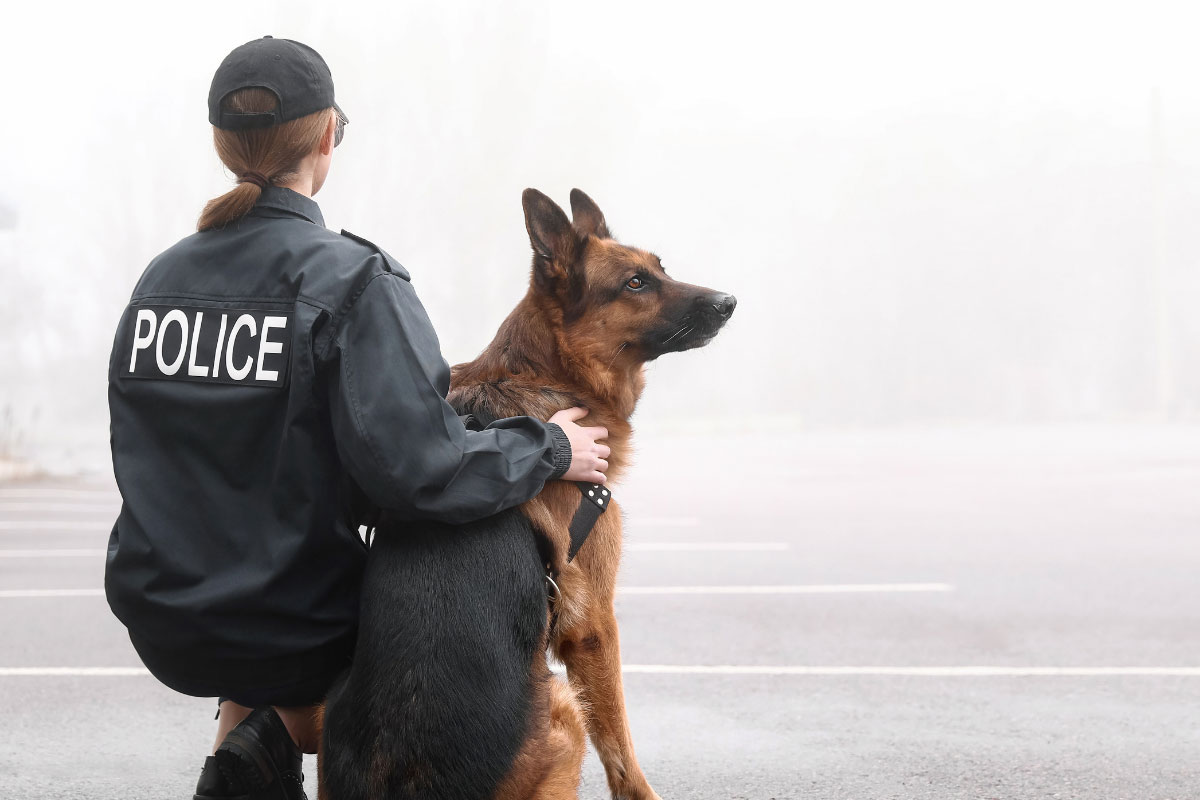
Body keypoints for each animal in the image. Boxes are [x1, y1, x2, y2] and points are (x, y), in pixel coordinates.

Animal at [319, 190, 729, 796]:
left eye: (661, 269)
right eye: (635, 283)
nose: (729, 302)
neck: (550, 377)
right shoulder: (593, 625)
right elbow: (622, 748)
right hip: (563, 712)